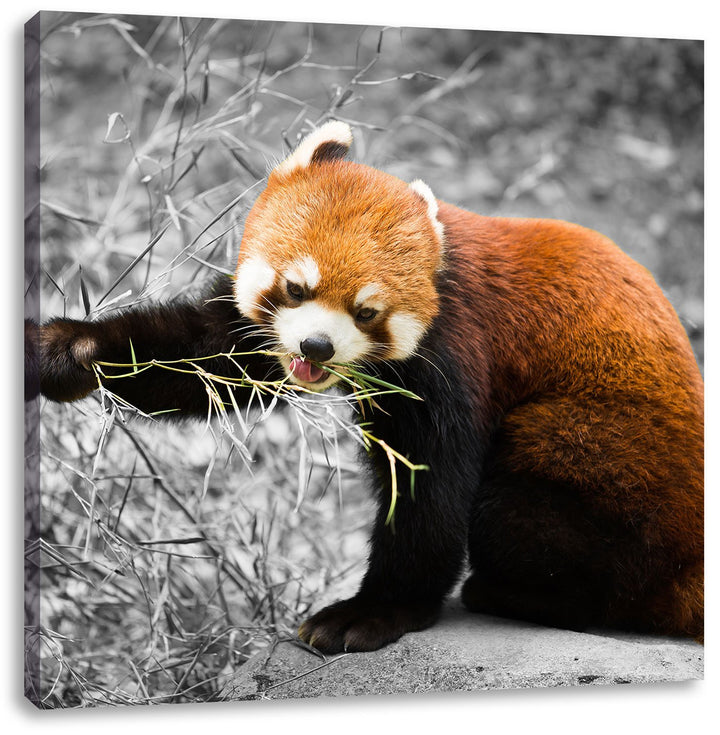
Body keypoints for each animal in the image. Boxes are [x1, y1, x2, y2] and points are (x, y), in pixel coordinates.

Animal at [28, 121, 704, 653]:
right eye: (296, 287)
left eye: (366, 311)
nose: (316, 347)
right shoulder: (256, 333)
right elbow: (205, 357)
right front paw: (68, 351)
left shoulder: (454, 354)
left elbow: (430, 489)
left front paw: (374, 612)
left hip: (596, 456)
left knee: (518, 514)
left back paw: (511, 593)